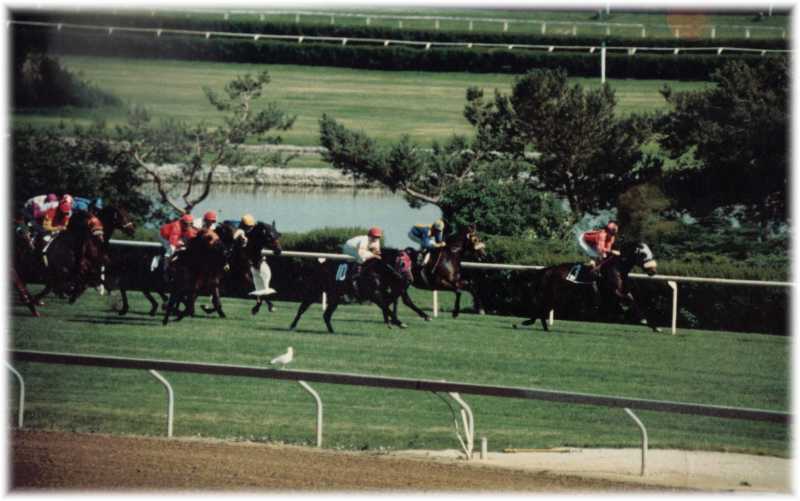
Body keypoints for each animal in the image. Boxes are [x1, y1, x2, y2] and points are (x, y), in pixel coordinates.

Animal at [286, 250, 424, 336]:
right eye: (402, 263)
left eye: (411, 263)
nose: (410, 279)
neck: (378, 271)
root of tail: (320, 266)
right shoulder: (374, 295)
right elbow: (386, 307)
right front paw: (399, 323)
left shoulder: (387, 292)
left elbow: (392, 303)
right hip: (313, 292)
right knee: (301, 309)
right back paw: (292, 326)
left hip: (335, 297)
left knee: (326, 315)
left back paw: (332, 331)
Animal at [516, 241, 660, 332]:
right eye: (643, 254)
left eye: (651, 252)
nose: (653, 270)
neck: (617, 268)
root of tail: (548, 270)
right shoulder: (614, 292)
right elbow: (630, 301)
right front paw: (644, 321)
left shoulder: (622, 293)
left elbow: (634, 301)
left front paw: (655, 326)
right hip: (554, 294)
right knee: (542, 308)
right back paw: (529, 323)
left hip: (558, 296)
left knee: (544, 308)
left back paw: (541, 326)